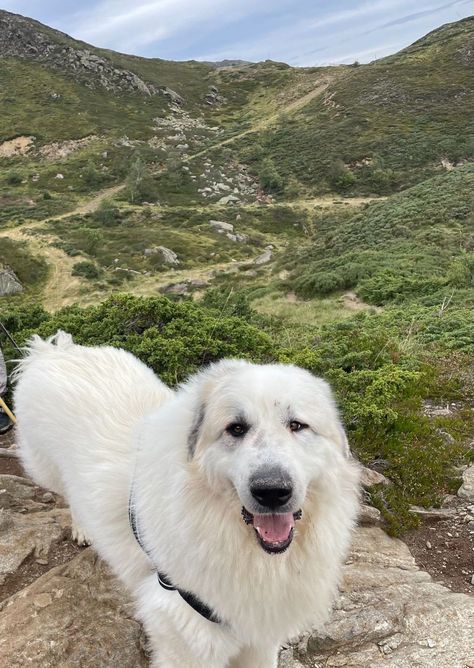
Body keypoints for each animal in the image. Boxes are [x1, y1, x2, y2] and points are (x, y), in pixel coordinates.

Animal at [14, 332, 362, 664]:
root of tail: (54, 351)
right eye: (236, 428)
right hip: (46, 468)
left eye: (297, 425)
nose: (272, 491)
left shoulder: (259, 638)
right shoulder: (186, 637)